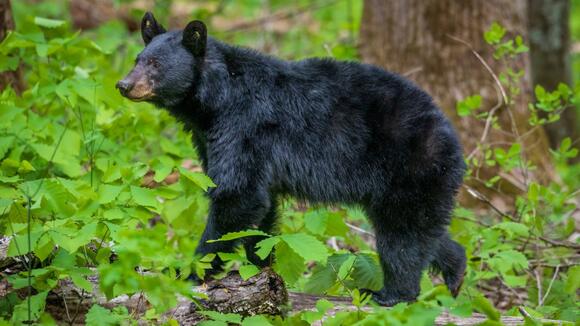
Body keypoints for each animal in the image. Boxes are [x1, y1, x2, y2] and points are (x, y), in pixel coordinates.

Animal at [116, 12, 466, 306]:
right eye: (137, 59)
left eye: (156, 64)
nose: (124, 84)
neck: (216, 99)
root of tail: (449, 132)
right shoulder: (213, 140)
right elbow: (260, 210)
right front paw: (259, 269)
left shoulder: (243, 127)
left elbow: (236, 196)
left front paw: (189, 271)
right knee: (426, 231)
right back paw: (456, 272)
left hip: (410, 166)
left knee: (402, 237)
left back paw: (390, 294)